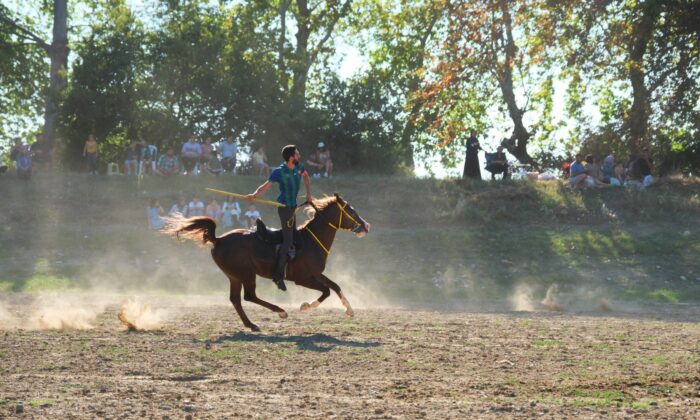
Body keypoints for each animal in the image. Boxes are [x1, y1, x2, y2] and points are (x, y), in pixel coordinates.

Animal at [165, 194, 372, 332]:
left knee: (236, 299)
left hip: (234, 276)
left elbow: (335, 286)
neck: (310, 241)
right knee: (249, 296)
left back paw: (251, 324)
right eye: (350, 210)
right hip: (246, 274)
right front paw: (306, 306)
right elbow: (327, 290)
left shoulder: (316, 274)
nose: (366, 225)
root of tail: (219, 239)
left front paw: (349, 309)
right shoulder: (303, 278)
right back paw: (280, 311)